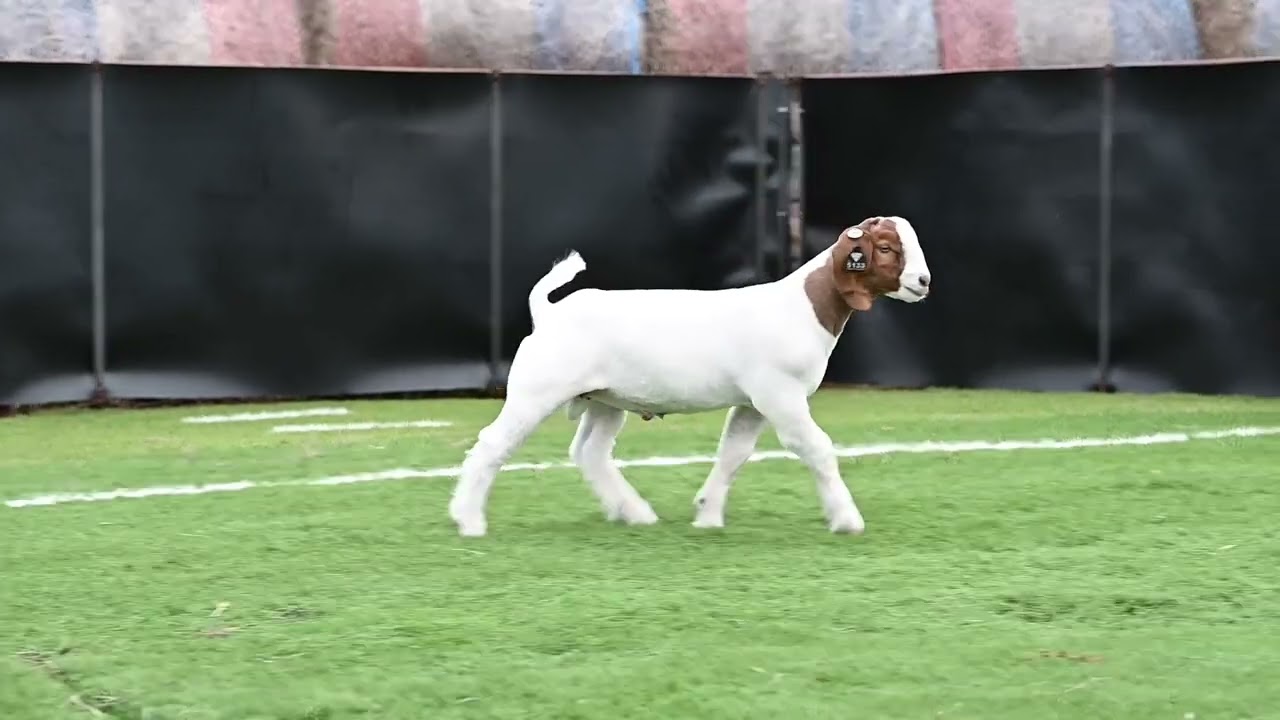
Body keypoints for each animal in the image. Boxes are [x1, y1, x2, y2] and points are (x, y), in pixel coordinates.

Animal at [448, 216, 932, 537]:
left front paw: (707, 515)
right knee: (493, 445)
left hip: (605, 399)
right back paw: (469, 520)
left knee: (590, 452)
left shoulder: (753, 402)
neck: (802, 306)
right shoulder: (781, 395)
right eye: (885, 248)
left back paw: (635, 512)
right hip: (537, 390)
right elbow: (817, 449)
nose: (924, 281)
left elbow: (733, 454)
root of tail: (547, 312)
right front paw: (847, 520)